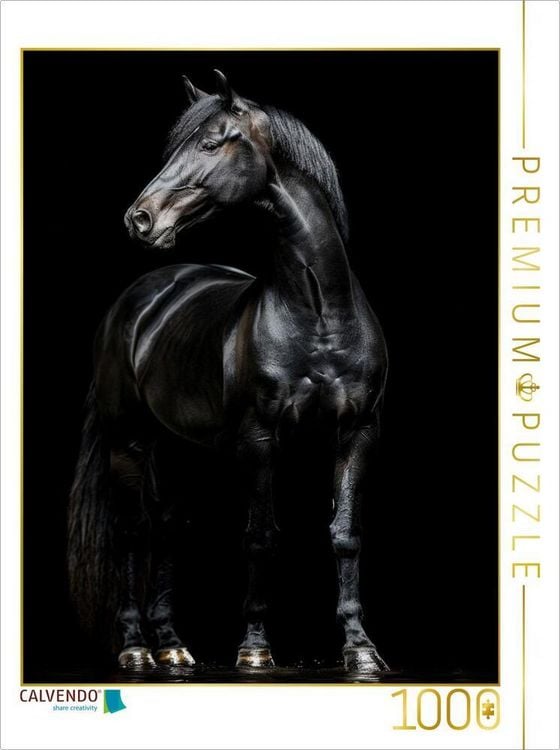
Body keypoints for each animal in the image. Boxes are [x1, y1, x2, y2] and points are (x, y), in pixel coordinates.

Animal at [68, 70, 389, 674]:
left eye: (212, 142)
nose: (139, 218)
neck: (319, 313)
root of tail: (142, 296)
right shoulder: (259, 441)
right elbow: (260, 537)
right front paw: (255, 650)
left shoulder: (356, 434)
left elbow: (345, 536)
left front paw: (360, 650)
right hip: (129, 442)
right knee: (133, 532)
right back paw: (137, 649)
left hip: (182, 451)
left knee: (170, 529)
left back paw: (173, 647)